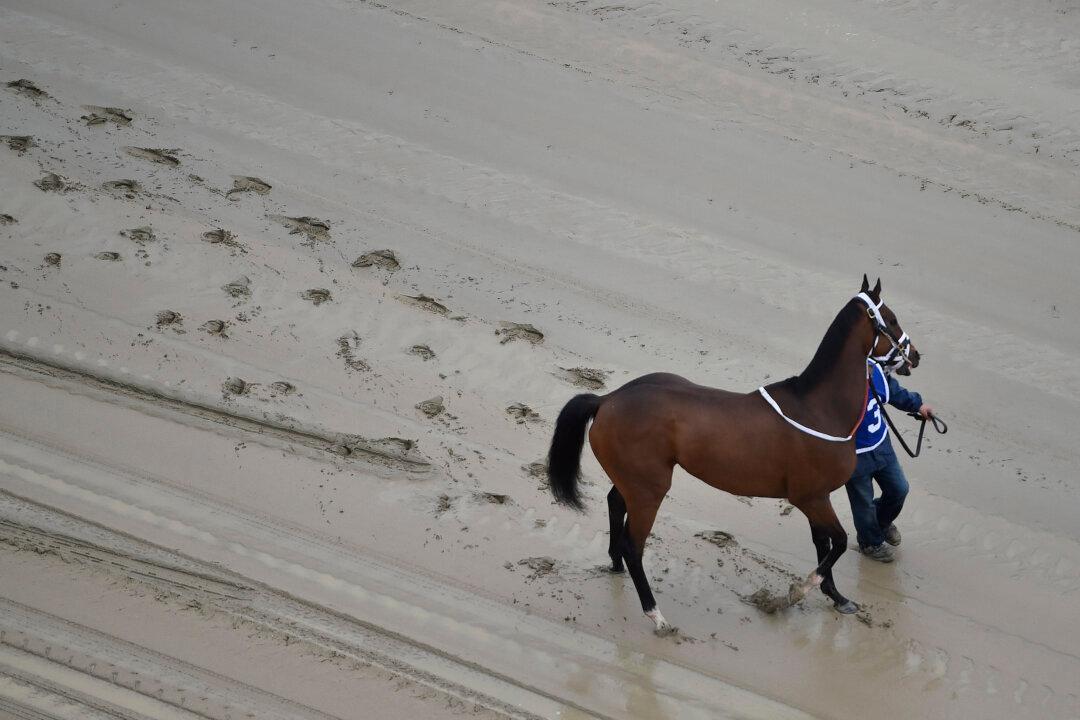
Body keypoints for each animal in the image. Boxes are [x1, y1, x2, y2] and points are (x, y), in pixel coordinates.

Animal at [546, 276, 918, 631]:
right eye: (892, 319)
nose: (915, 355)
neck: (818, 408)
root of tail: (607, 400)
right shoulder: (810, 498)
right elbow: (837, 543)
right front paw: (793, 594)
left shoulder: (817, 498)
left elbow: (823, 546)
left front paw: (837, 597)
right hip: (649, 492)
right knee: (633, 545)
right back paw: (656, 615)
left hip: (634, 482)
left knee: (614, 504)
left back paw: (614, 566)